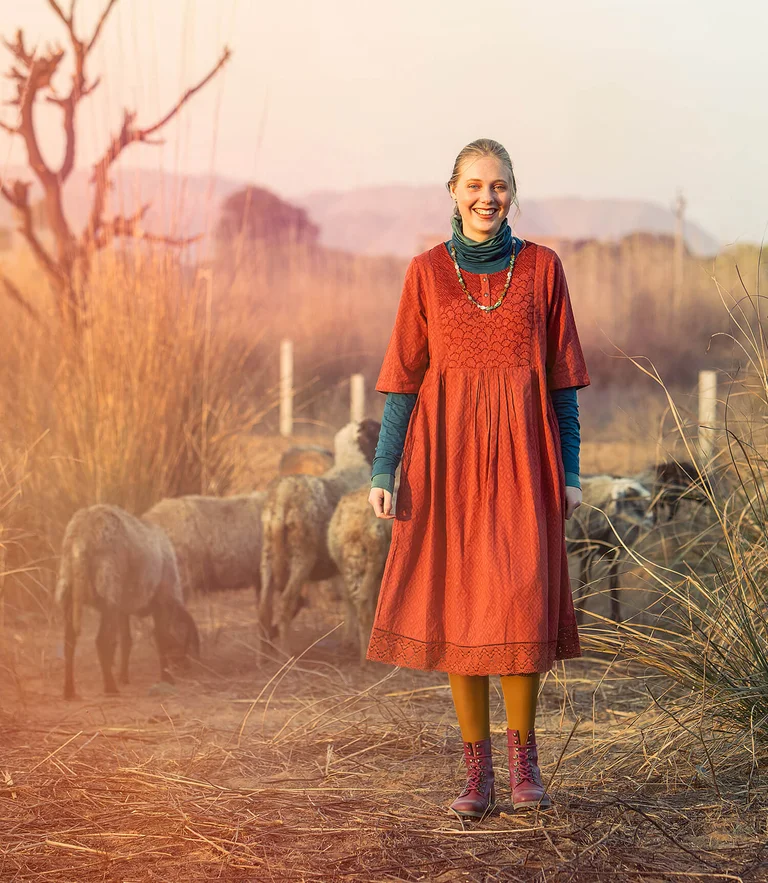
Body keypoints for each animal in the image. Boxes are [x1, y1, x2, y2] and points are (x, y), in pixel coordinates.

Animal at [56, 504, 201, 704]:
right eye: (186, 640)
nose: (187, 667)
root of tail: (81, 537)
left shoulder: (123, 609)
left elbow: (126, 641)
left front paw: (123, 676)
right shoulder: (161, 602)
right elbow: (161, 638)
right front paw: (167, 678)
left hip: (70, 587)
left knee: (70, 642)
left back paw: (69, 691)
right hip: (109, 585)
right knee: (101, 641)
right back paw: (110, 689)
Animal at [260, 418, 380, 652]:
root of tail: (282, 499)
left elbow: (348, 598)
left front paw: (348, 641)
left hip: (268, 557)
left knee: (263, 610)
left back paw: (264, 654)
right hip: (301, 557)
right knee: (285, 604)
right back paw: (286, 653)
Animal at [564, 474, 656, 624]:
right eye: (632, 502)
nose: (653, 521)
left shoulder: (613, 554)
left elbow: (615, 585)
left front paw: (617, 620)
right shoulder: (588, 551)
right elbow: (584, 586)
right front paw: (580, 619)